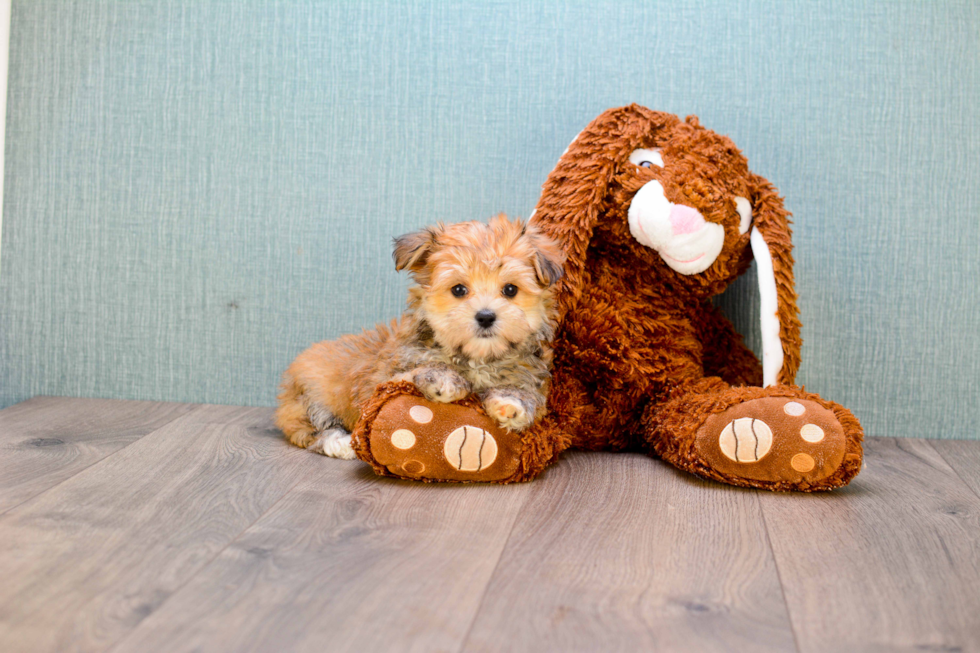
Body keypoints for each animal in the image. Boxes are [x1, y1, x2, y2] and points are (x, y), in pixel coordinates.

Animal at [276, 214, 568, 458]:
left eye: (510, 289)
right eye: (458, 289)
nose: (485, 316)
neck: (476, 357)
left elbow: (523, 392)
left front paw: (510, 404)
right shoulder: (389, 379)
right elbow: (424, 368)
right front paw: (445, 380)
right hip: (310, 400)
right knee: (316, 430)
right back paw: (343, 444)